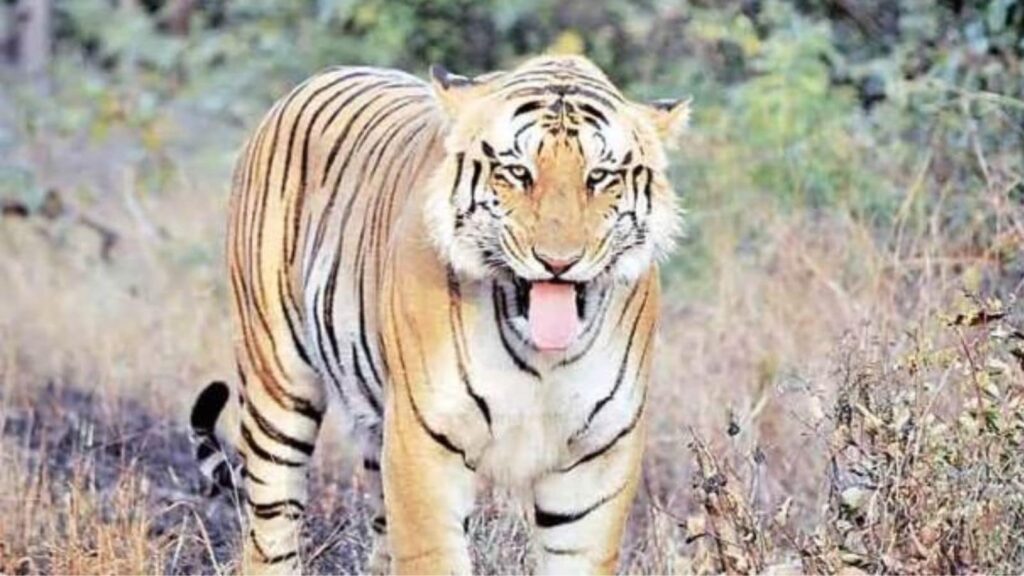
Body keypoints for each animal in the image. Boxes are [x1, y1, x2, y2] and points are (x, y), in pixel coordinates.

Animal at [190, 54, 689, 574]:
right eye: (517, 172)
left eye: (599, 176)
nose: (558, 261)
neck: (540, 354)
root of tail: (320, 76)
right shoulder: (424, 443)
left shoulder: (598, 457)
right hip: (277, 388)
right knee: (270, 529)